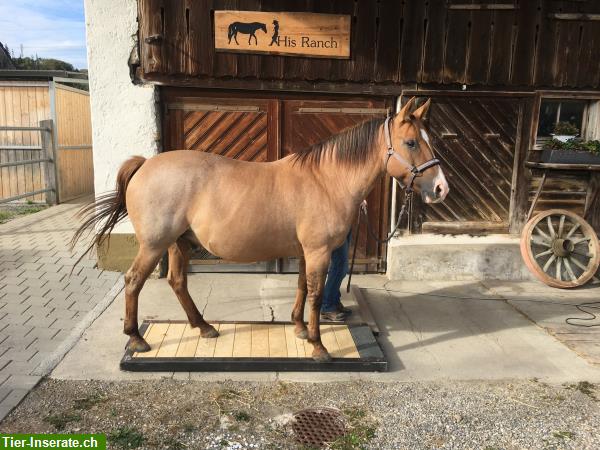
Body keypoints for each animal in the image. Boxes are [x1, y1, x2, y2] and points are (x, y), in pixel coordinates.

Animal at [72, 97, 448, 362]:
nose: (441, 188)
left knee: (178, 282)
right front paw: (318, 345)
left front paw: (299, 329)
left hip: (179, 243)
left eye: (428, 139)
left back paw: (204, 327)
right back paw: (136, 337)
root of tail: (146, 163)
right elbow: (315, 294)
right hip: (154, 245)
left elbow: (301, 288)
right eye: (411, 142)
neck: (326, 180)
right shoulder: (318, 252)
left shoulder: (305, 252)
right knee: (134, 281)